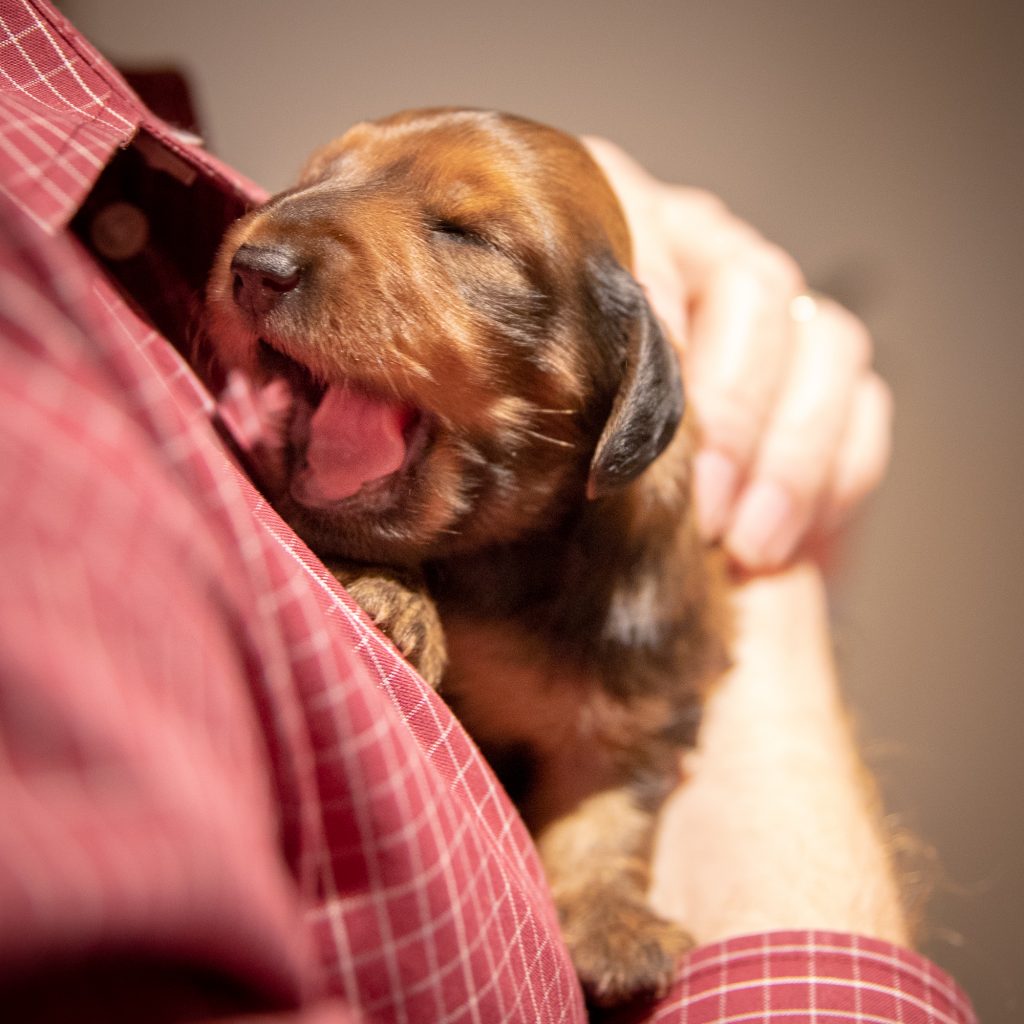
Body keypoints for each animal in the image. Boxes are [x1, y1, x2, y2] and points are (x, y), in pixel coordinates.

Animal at [205, 108, 729, 1003]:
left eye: (464, 232)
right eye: (314, 178)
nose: (254, 266)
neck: (500, 565)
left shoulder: (639, 704)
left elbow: (607, 816)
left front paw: (614, 925)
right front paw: (395, 597)